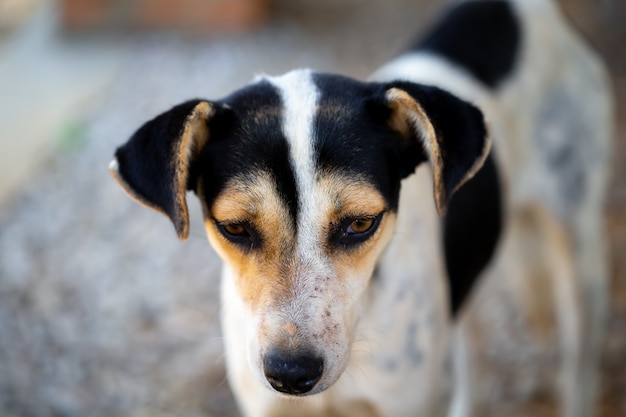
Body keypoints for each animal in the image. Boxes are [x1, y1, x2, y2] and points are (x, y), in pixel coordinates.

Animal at [108, 1, 608, 414]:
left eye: (360, 223)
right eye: (234, 228)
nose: (291, 375)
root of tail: (516, 8)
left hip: (578, 256)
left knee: (579, 360)